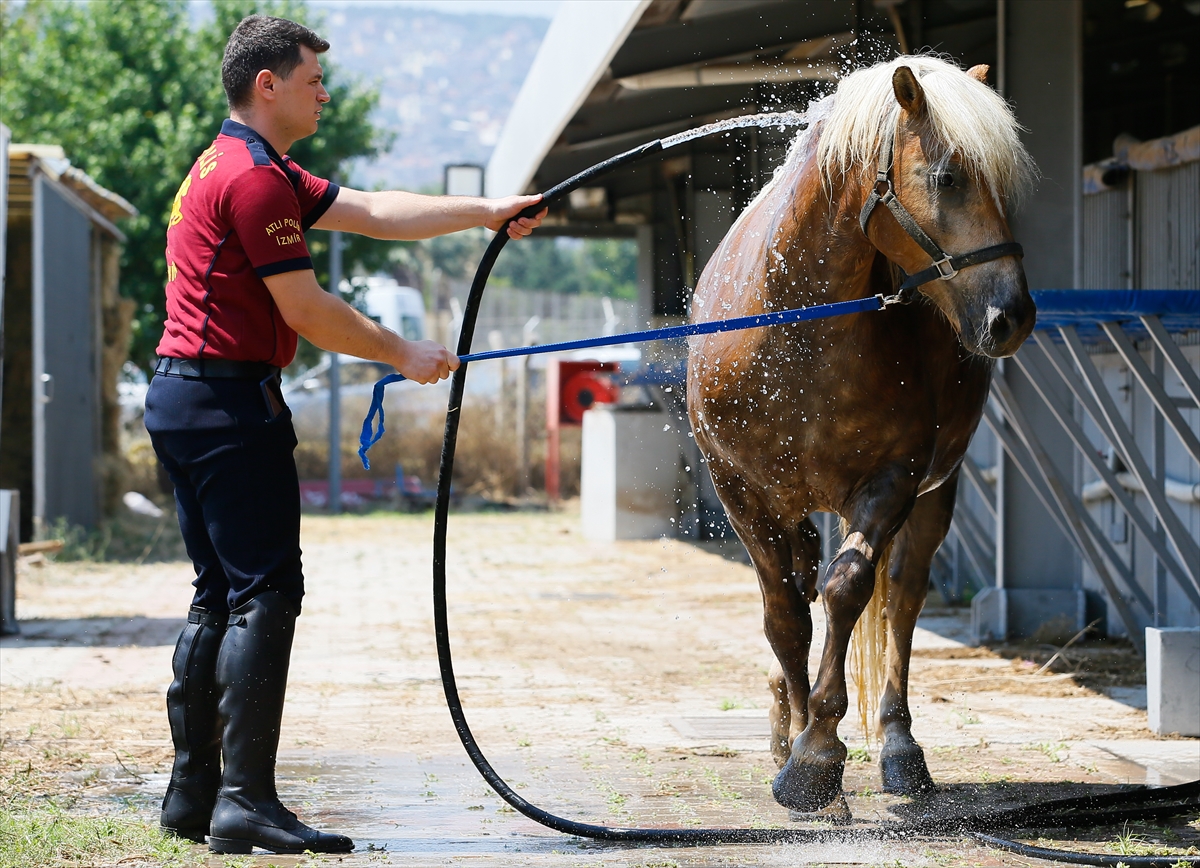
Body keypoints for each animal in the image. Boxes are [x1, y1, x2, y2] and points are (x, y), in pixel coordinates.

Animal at [691, 56, 1036, 816]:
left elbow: (848, 587)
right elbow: (786, 616)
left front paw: (817, 755)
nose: (1012, 316)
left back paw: (900, 747)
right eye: (948, 178)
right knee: (800, 594)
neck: (797, 326)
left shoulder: (891, 482)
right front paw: (796, 741)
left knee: (902, 597)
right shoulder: (743, 492)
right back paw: (784, 719)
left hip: (935, 492)